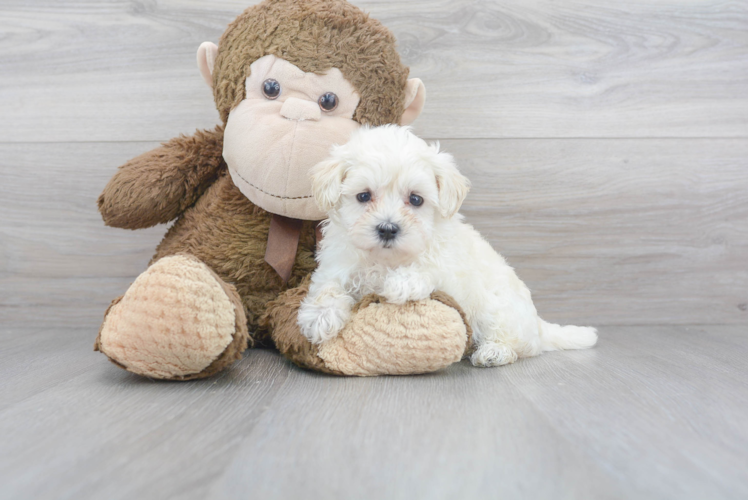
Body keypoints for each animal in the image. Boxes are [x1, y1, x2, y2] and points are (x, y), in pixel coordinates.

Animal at [298, 125, 596, 368]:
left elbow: (429, 269)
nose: (387, 229)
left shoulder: (450, 270)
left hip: (498, 309)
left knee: (518, 344)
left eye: (415, 199)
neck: (385, 259)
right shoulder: (336, 265)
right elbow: (327, 287)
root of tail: (538, 326)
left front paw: (400, 282)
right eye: (363, 196)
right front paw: (319, 317)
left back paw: (493, 352)